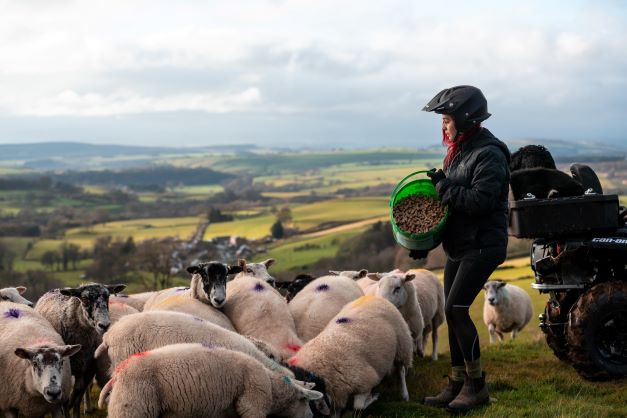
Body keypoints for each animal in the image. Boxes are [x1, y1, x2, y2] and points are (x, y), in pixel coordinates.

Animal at [34, 282, 125, 416]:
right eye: (85, 299)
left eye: (108, 297)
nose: (104, 325)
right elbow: (66, 402)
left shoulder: (88, 369)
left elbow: (77, 398)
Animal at [99, 342, 324, 418]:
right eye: (306, 401)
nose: (310, 416)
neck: (272, 385)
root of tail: (117, 373)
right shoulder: (252, 406)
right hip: (134, 407)